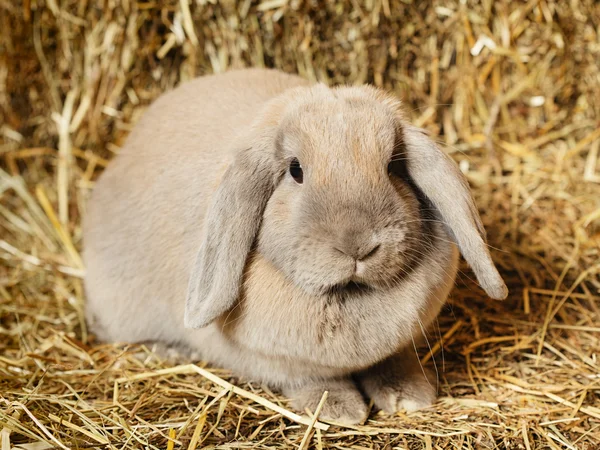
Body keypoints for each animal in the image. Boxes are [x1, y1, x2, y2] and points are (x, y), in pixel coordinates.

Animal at [83, 67, 506, 426]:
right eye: (295, 170)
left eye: (392, 167)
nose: (357, 247)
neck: (347, 296)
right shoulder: (279, 362)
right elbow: (311, 380)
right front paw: (339, 410)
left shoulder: (400, 344)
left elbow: (393, 362)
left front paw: (408, 397)